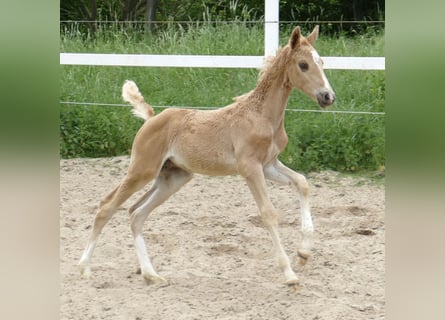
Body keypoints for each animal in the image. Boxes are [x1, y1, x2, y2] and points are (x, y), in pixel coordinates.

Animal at [80, 25, 334, 284]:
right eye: (303, 64)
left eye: (322, 62)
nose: (327, 96)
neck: (261, 115)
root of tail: (151, 119)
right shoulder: (250, 168)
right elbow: (268, 213)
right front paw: (289, 273)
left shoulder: (268, 165)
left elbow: (302, 183)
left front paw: (303, 253)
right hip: (142, 170)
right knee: (106, 207)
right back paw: (85, 268)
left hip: (173, 177)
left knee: (136, 214)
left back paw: (151, 274)